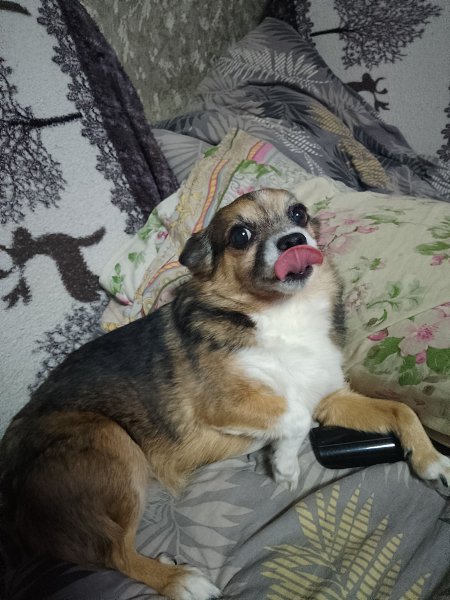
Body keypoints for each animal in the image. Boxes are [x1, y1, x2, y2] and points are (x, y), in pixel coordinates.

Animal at [1, 188, 449, 600]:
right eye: (240, 235)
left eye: (298, 213)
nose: (294, 239)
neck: (284, 314)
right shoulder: (221, 403)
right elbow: (295, 417)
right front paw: (284, 465)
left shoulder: (330, 398)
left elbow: (402, 409)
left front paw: (430, 459)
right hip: (109, 437)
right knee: (113, 552)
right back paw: (179, 580)